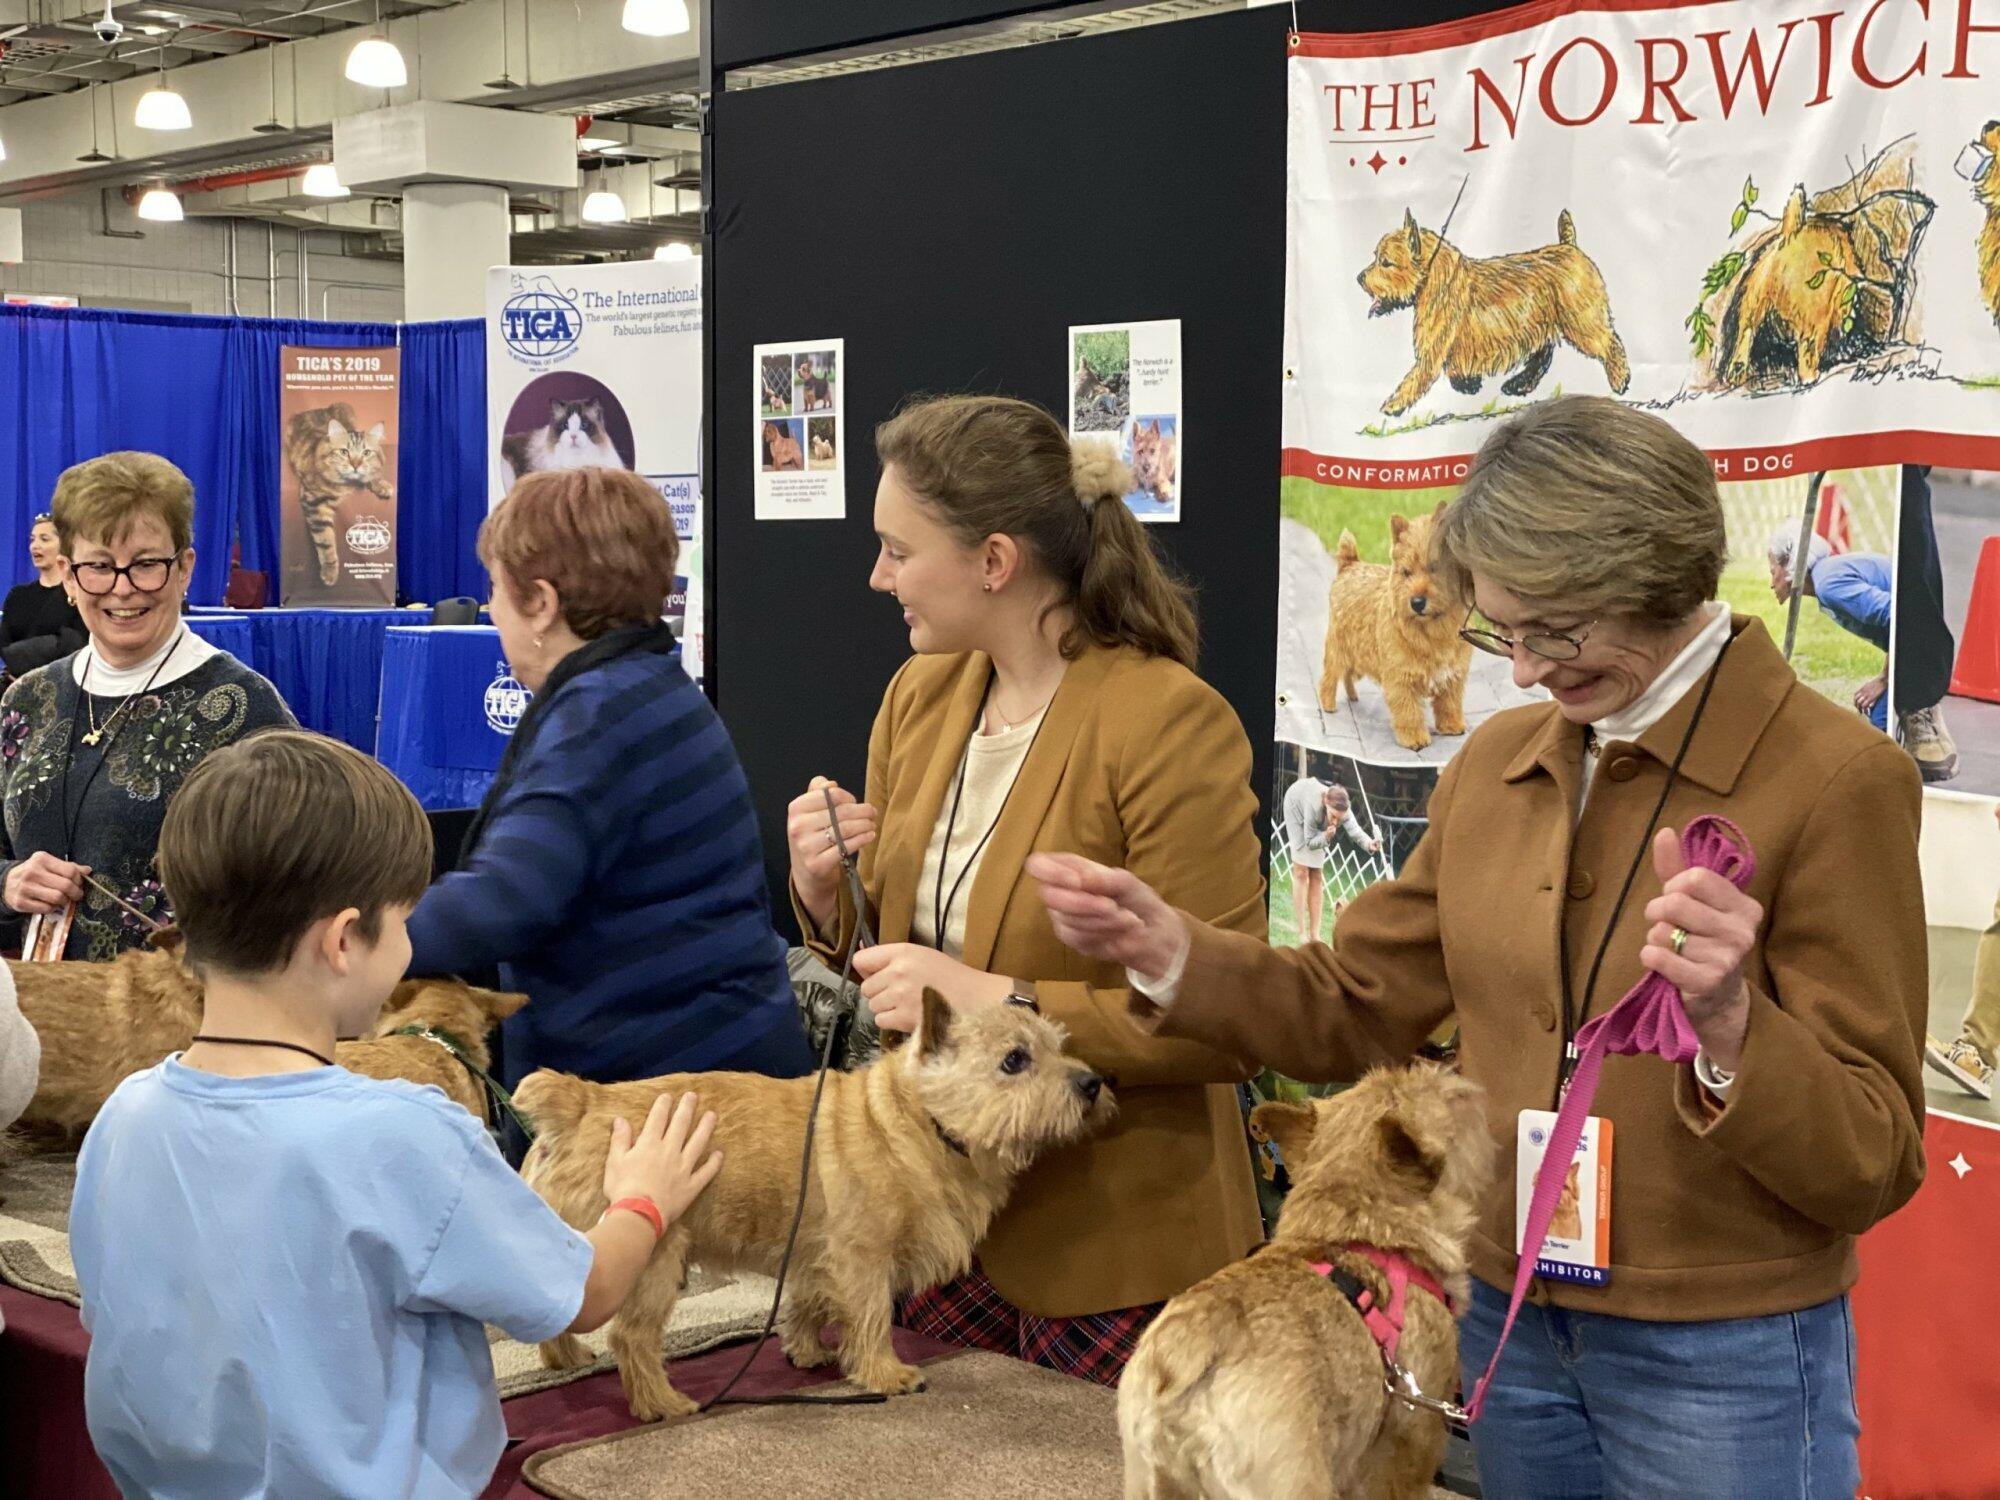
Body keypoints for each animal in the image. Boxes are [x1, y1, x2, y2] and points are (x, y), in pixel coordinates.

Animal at [284, 403, 392, 588]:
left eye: (366, 453)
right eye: (344, 452)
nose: (355, 465)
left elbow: (371, 476)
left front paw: (382, 486)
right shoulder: (315, 502)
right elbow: (325, 540)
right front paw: (329, 570)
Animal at [516, 988, 1114, 1422]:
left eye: (1059, 1045)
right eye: (1014, 1060)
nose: (1092, 1083)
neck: (914, 1119)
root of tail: (584, 1100)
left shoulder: (811, 1251)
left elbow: (807, 1303)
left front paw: (805, 1350)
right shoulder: (862, 1256)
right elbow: (871, 1316)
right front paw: (884, 1374)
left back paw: (568, 1359)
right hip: (656, 1263)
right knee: (632, 1338)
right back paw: (661, 1404)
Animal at [1318, 502, 1472, 752]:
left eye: (1434, 567)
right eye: (1406, 572)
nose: (1416, 602)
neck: (1432, 630)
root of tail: (1350, 566)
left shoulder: (1453, 675)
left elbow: (1449, 703)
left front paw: (1452, 726)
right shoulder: (1401, 680)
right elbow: (1408, 712)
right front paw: (1415, 739)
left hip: (1355, 653)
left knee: (1348, 675)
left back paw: (1353, 697)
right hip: (1337, 647)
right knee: (1329, 677)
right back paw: (1328, 705)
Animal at [1358, 207, 1629, 417]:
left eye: (1386, 262)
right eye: (1376, 257)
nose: (1359, 277)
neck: (1433, 279)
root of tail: (1569, 246)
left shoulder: (1431, 352)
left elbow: (1413, 380)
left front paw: (1392, 406)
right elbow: (1455, 371)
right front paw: (1469, 384)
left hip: (1581, 323)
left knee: (1610, 343)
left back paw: (1620, 381)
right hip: (1542, 325)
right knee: (1543, 354)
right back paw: (1519, 385)